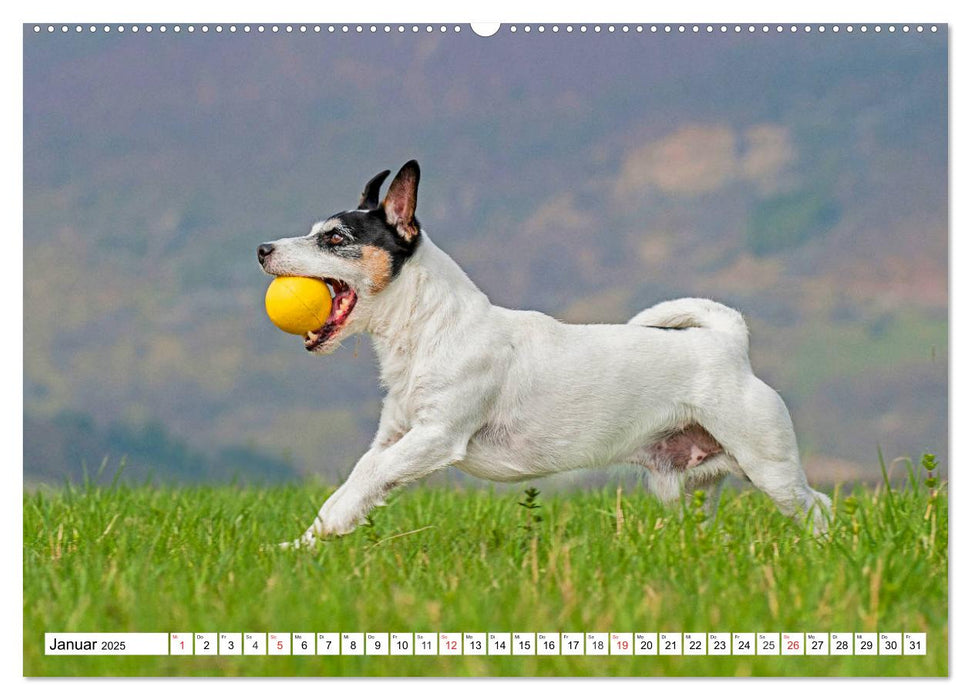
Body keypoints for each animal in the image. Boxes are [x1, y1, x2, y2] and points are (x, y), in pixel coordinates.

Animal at [260, 160, 836, 548]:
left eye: (336, 239)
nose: (263, 249)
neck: (430, 327)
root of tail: (727, 342)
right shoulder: (395, 436)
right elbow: (353, 484)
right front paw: (300, 546)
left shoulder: (435, 436)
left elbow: (367, 480)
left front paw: (323, 536)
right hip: (693, 486)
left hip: (768, 466)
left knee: (818, 506)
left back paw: (822, 551)